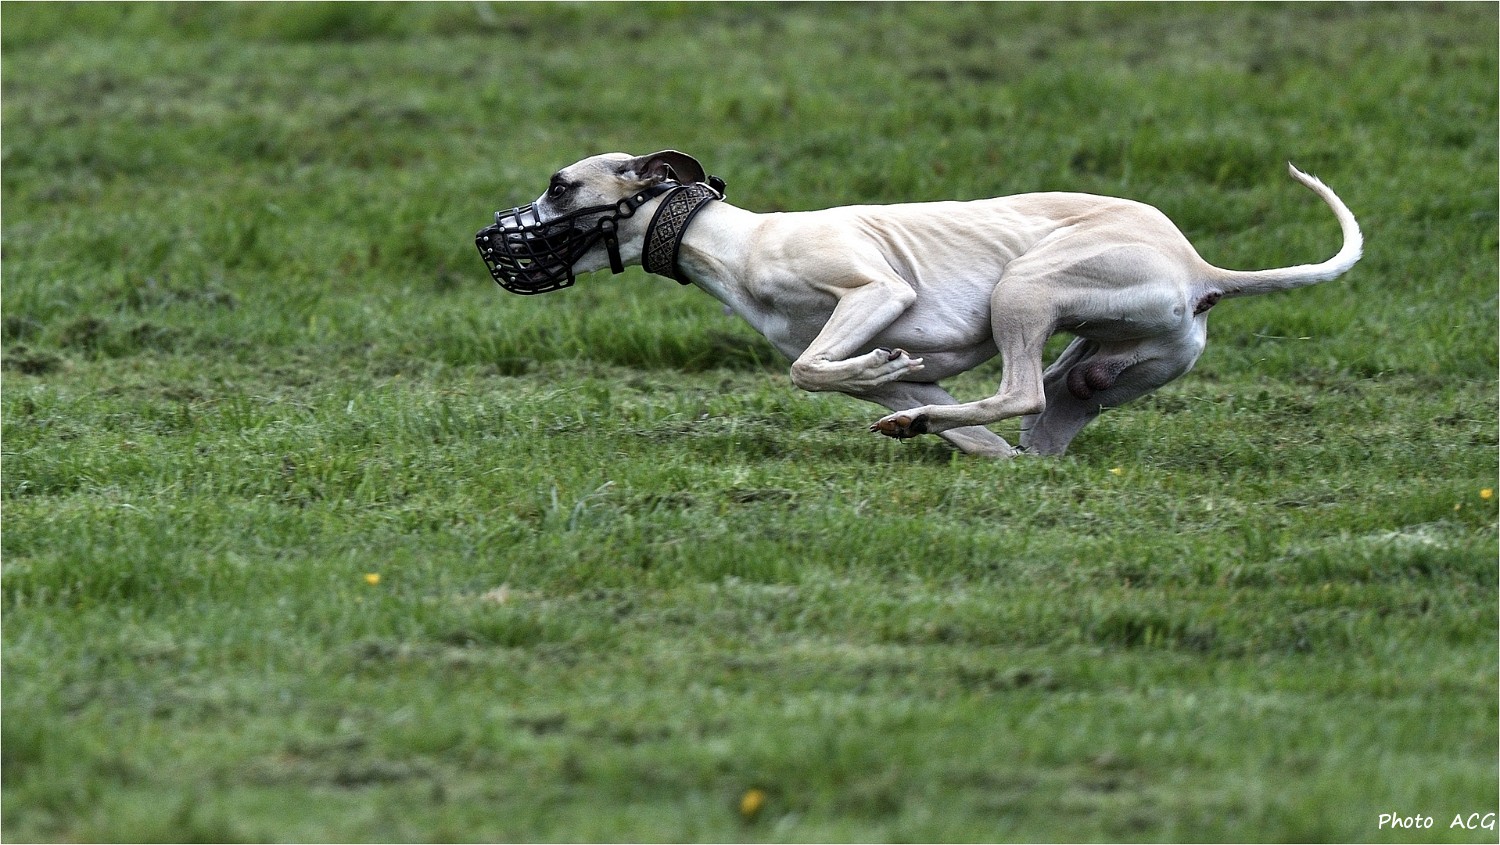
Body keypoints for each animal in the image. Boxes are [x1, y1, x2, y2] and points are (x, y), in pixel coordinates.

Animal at [477, 151, 1361, 458]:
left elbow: (809, 368)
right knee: (1035, 423)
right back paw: (926, 425)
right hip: (1097, 371)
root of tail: (1199, 264)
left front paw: (870, 364)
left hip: (1025, 287)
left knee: (1019, 389)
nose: (490, 238)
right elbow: (871, 379)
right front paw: (888, 385)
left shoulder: (875, 288)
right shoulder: (909, 368)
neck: (734, 241)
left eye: (560, 185)